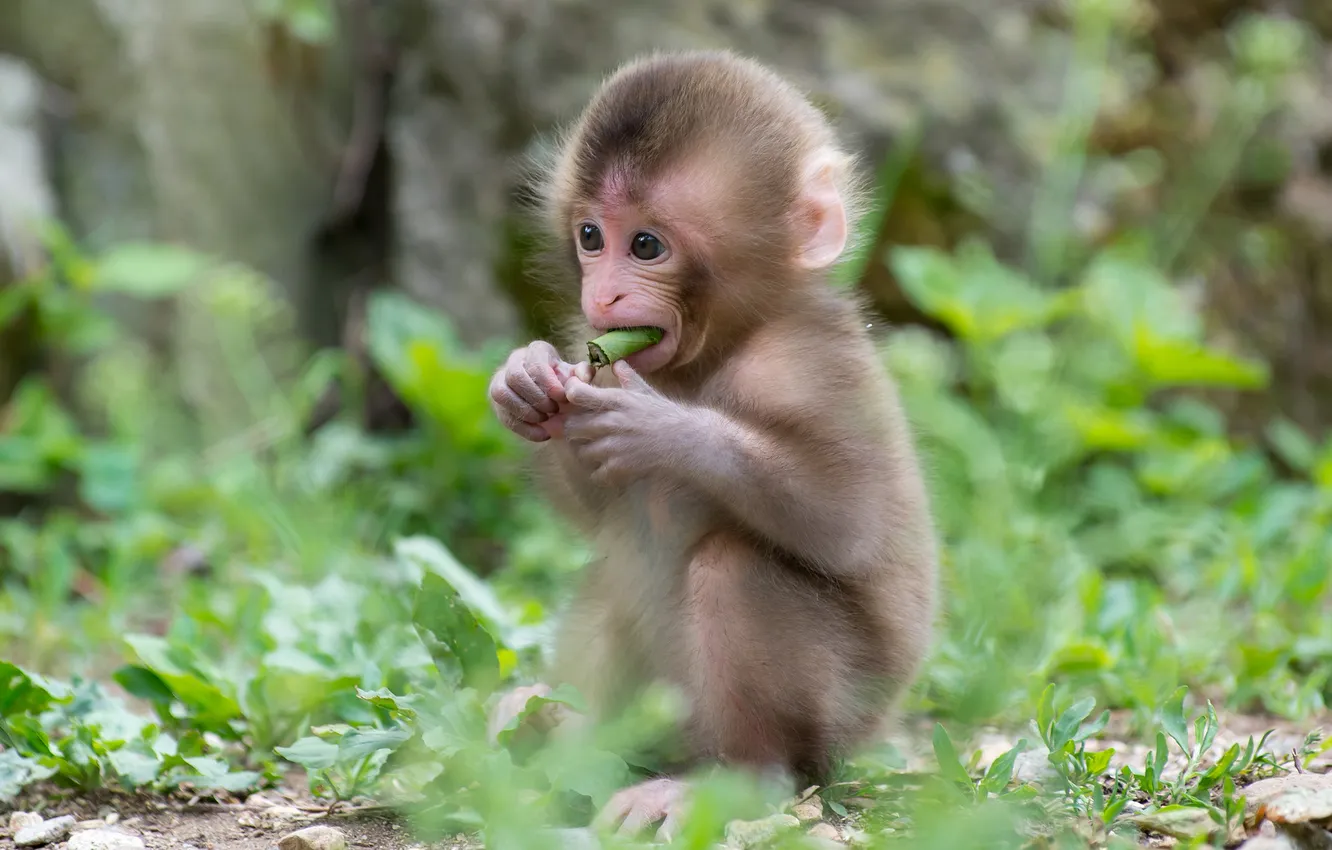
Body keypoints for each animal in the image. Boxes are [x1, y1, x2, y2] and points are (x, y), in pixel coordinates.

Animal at [487, 51, 937, 842]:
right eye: (590, 236)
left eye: (646, 245)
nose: (602, 298)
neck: (723, 343)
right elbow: (595, 503)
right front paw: (528, 380)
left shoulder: (809, 361)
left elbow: (848, 518)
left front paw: (663, 429)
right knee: (616, 568)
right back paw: (560, 728)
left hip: (840, 720)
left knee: (734, 568)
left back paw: (736, 781)